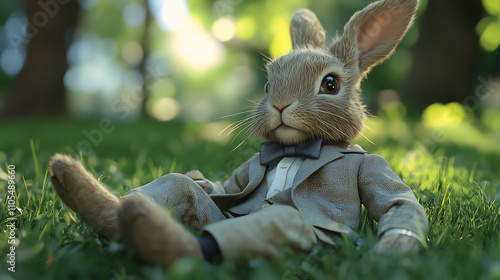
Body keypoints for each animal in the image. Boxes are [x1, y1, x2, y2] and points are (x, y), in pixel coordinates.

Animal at [49, 0, 426, 268]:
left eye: (330, 84)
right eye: (267, 85)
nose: (279, 105)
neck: (294, 150)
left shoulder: (372, 167)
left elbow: (398, 202)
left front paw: (393, 247)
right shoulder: (244, 175)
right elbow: (227, 186)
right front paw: (204, 182)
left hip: (297, 228)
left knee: (258, 229)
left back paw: (144, 228)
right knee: (179, 187)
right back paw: (81, 188)